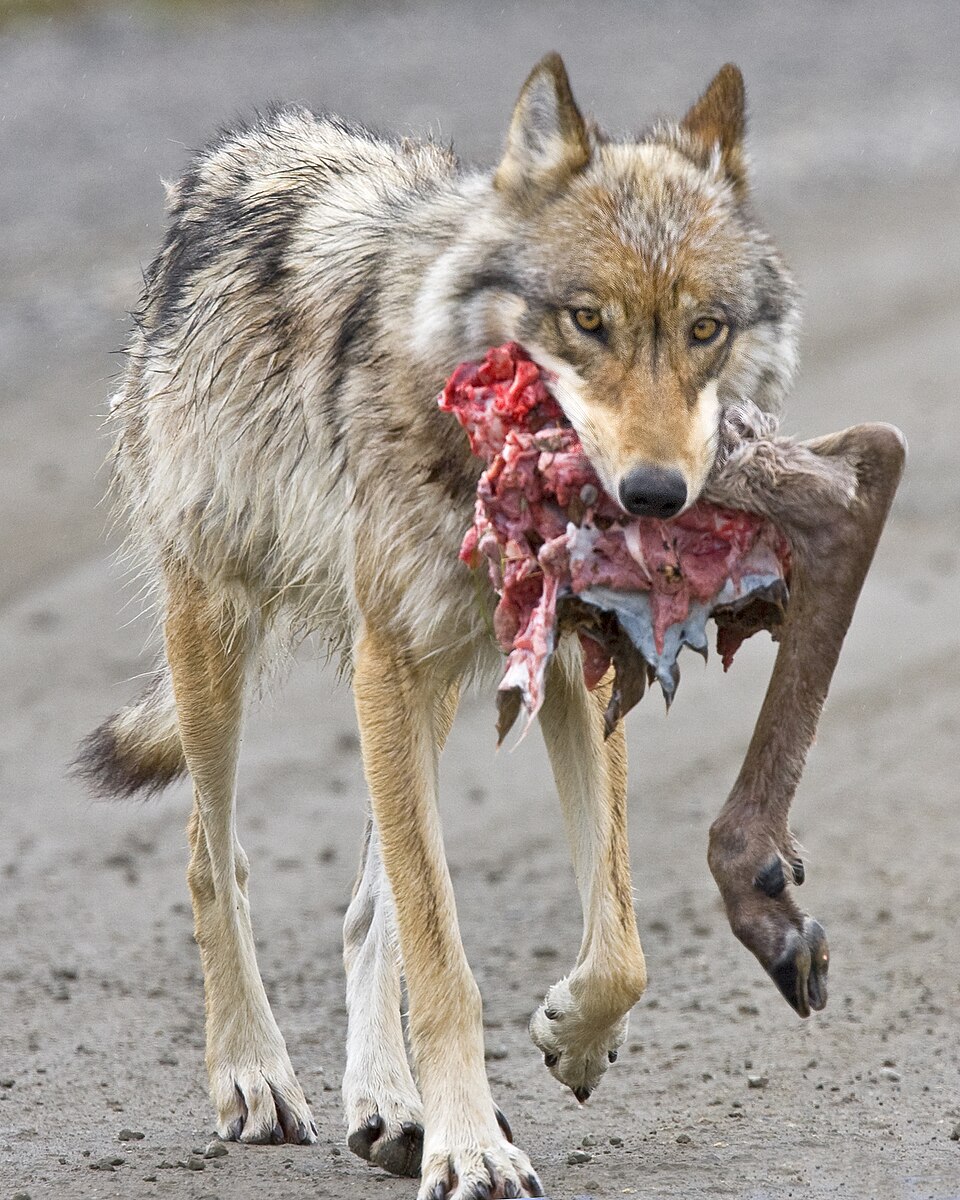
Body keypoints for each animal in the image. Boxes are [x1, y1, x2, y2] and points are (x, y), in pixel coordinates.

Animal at [76, 55, 803, 1199]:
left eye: (705, 330)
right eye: (586, 321)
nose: (654, 493)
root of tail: (241, 152)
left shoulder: (570, 669)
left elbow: (617, 942)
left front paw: (568, 1039)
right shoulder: (393, 663)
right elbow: (442, 951)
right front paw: (473, 1148)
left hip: (427, 690)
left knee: (364, 911)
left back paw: (389, 1106)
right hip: (229, 645)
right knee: (213, 858)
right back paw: (253, 1075)